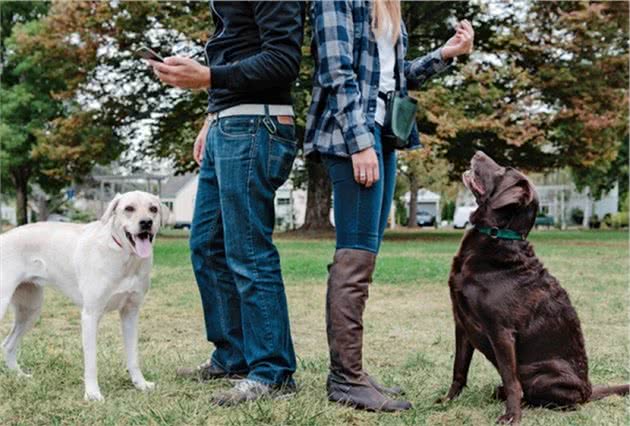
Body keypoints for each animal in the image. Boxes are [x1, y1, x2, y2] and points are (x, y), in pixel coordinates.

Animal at [1, 191, 163, 402]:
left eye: (153, 209)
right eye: (129, 208)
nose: (146, 222)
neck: (125, 257)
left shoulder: (130, 313)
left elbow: (133, 356)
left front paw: (140, 384)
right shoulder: (90, 315)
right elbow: (91, 361)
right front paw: (92, 393)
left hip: (30, 311)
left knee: (8, 345)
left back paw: (19, 376)